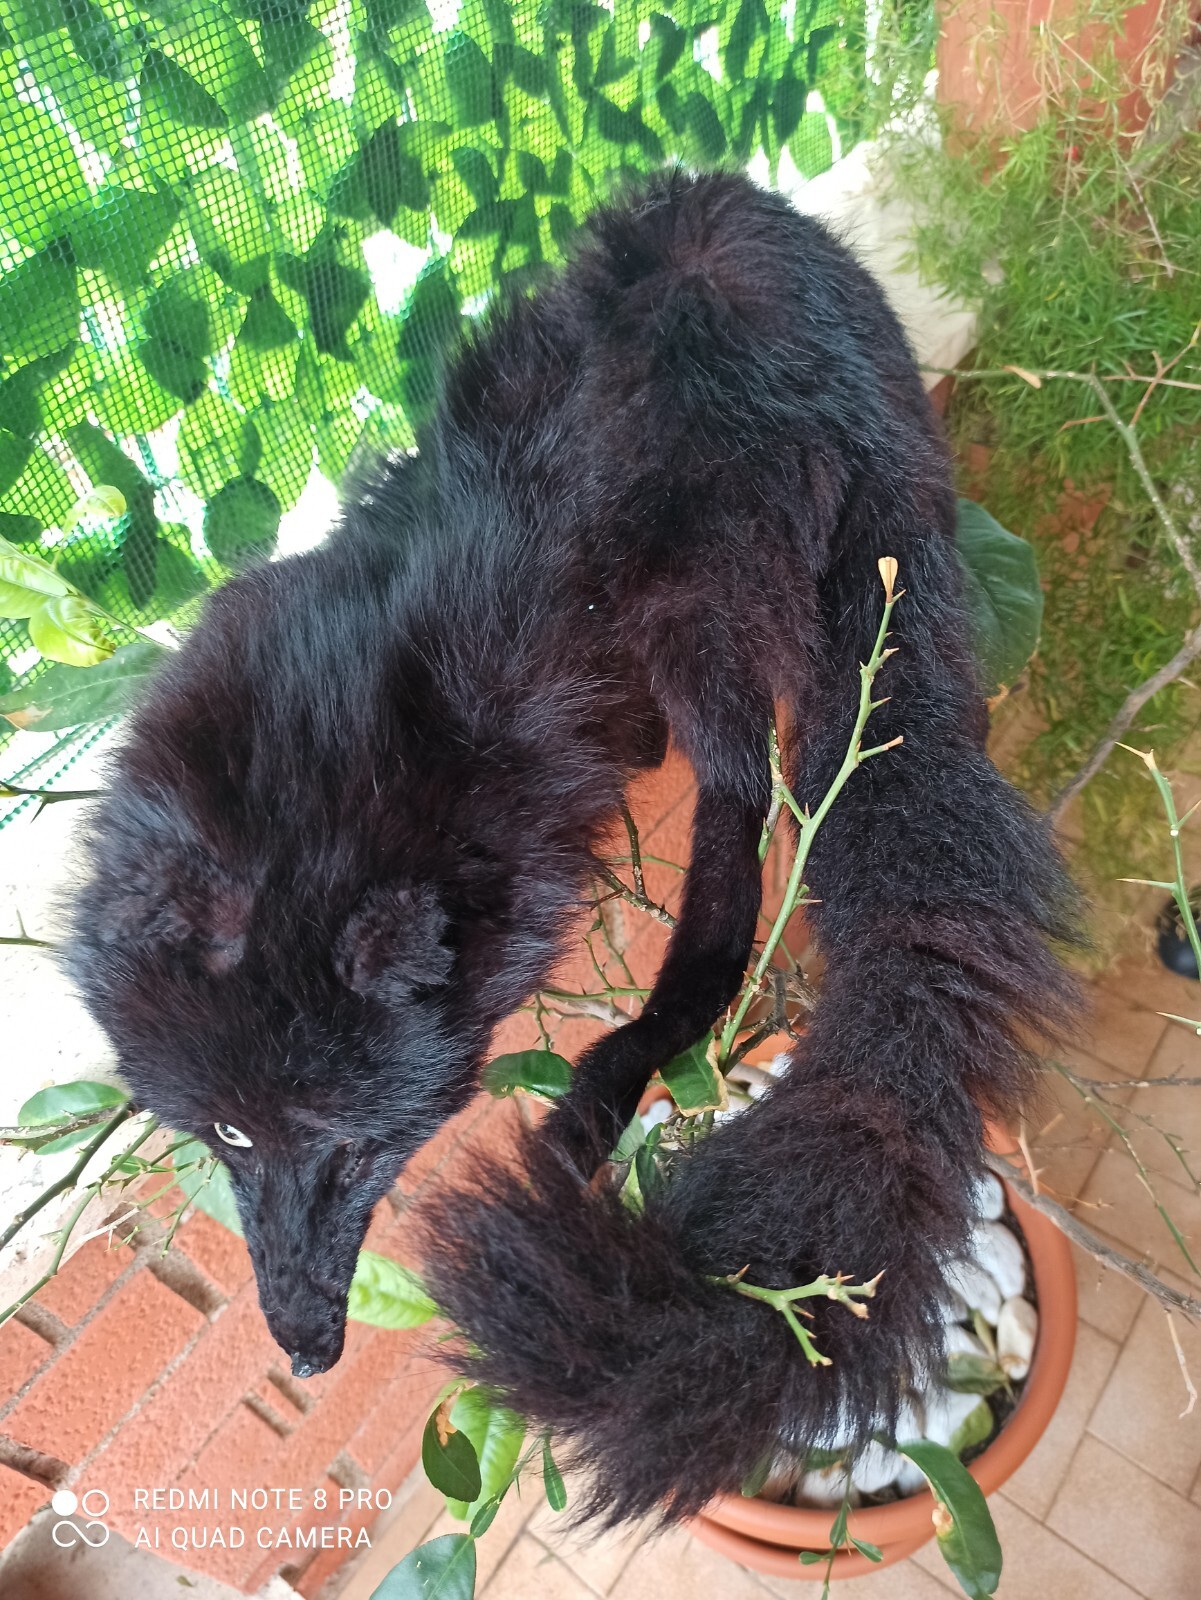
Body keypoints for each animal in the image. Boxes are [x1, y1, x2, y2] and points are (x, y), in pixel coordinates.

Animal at [67, 169, 1075, 1521]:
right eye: (229, 1135)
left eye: (356, 1146)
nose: (308, 1349)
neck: (349, 766)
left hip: (695, 595)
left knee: (739, 813)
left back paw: (617, 1071)